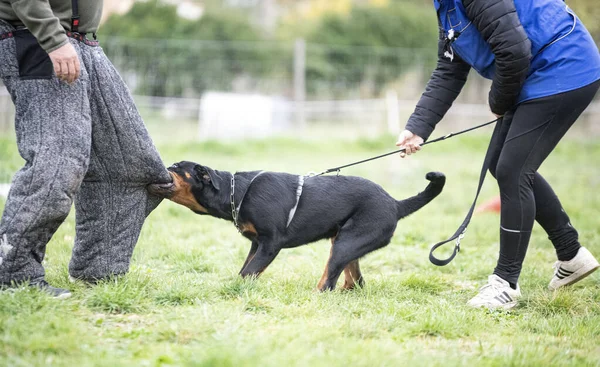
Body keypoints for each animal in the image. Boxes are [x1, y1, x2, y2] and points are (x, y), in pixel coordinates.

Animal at [148, 162, 442, 292]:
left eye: (177, 167)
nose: (161, 165)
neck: (236, 193)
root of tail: (395, 204)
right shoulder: (256, 244)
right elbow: (246, 269)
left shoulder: (270, 244)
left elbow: (249, 272)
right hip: (346, 242)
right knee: (355, 280)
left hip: (346, 243)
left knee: (328, 282)